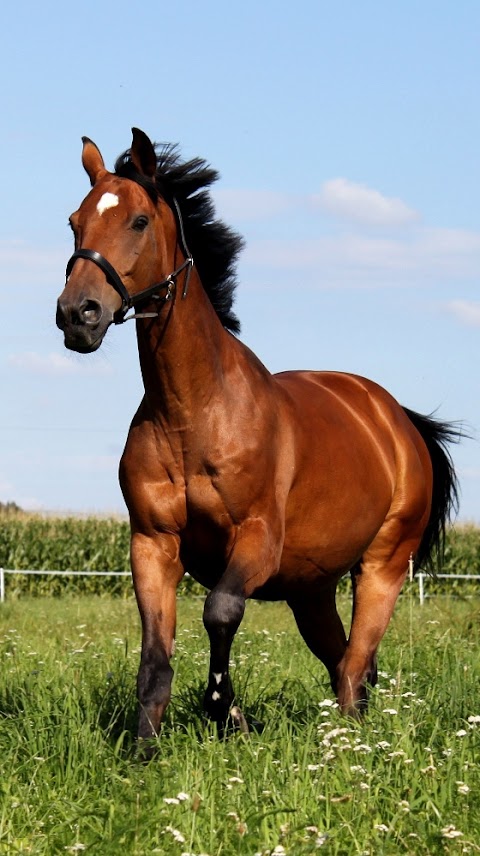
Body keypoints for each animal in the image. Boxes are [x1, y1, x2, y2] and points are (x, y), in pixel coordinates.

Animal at [57, 127, 462, 748]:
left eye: (138, 221)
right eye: (75, 221)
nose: (78, 314)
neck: (193, 415)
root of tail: (397, 419)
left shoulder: (256, 540)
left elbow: (220, 611)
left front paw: (226, 712)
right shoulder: (152, 543)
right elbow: (155, 657)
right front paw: (145, 749)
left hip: (384, 566)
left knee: (354, 665)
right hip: (311, 588)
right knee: (345, 660)